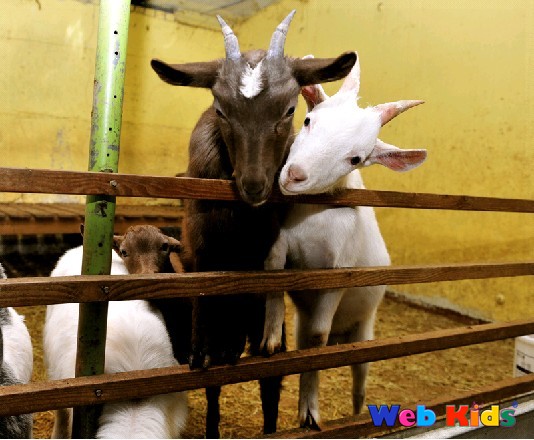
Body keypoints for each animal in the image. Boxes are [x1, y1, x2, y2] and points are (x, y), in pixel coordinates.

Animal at [151, 10, 356, 437]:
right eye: (220, 110)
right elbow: (206, 359)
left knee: (269, 373)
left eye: (290, 110)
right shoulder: (200, 252)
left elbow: (270, 370)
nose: (254, 183)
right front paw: (199, 359)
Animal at [261, 55, 427, 429]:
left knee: (357, 378)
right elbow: (274, 280)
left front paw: (311, 413)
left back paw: (357, 415)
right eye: (308, 120)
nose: (295, 175)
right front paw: (271, 338)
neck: (314, 218)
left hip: (364, 332)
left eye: (356, 159)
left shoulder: (338, 272)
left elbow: (318, 339)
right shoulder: (281, 245)